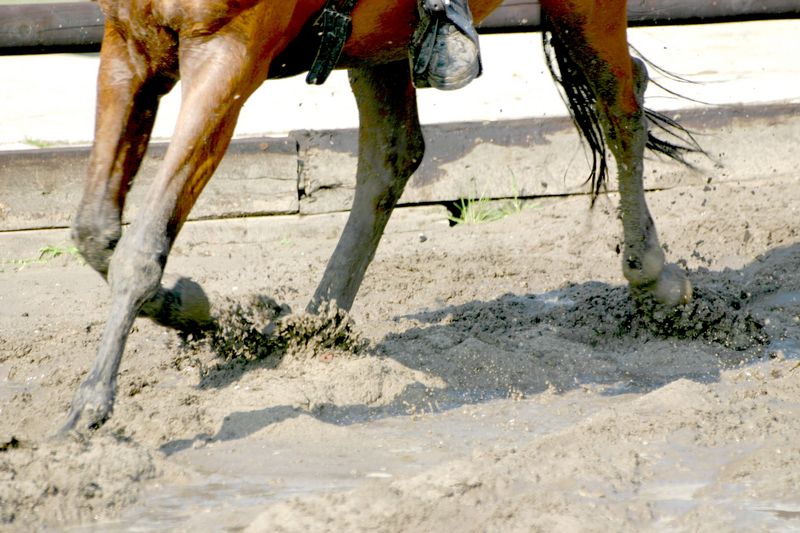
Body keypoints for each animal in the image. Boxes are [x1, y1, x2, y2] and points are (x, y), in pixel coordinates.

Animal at [60, 0, 696, 433]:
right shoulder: (130, 46)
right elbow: (95, 232)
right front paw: (205, 315)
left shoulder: (227, 58)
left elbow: (142, 247)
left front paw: (91, 406)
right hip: (382, 37)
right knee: (393, 153)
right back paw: (313, 325)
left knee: (621, 105)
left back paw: (653, 279)